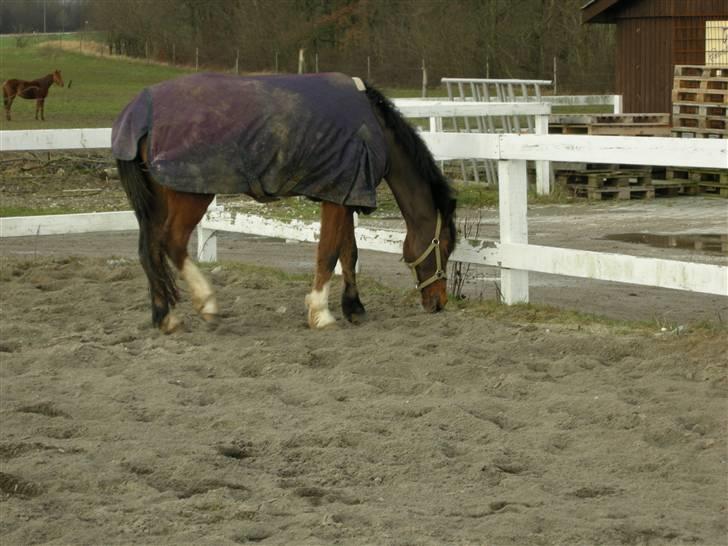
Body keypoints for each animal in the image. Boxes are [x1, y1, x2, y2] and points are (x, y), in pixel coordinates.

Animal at [112, 72, 456, 332]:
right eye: (445, 245)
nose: (439, 303)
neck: (373, 129)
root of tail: (139, 111)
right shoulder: (337, 197)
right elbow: (329, 253)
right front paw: (321, 313)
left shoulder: (344, 195)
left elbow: (349, 252)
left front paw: (354, 308)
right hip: (191, 196)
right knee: (171, 243)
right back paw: (207, 303)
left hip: (157, 200)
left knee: (149, 250)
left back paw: (166, 318)